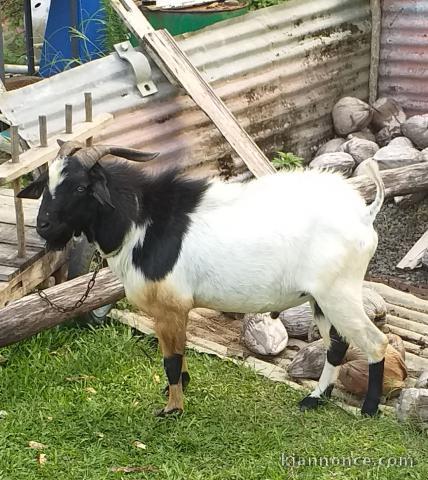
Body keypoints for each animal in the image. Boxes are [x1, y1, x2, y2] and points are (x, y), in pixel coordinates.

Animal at [19, 141, 388, 418]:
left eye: (81, 187)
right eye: (46, 186)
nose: (43, 226)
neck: (143, 221)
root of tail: (363, 213)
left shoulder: (171, 305)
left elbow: (170, 360)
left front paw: (172, 410)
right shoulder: (168, 310)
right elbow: (177, 355)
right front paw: (177, 392)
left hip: (338, 293)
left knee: (375, 341)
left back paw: (368, 410)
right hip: (320, 299)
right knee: (337, 345)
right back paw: (314, 399)